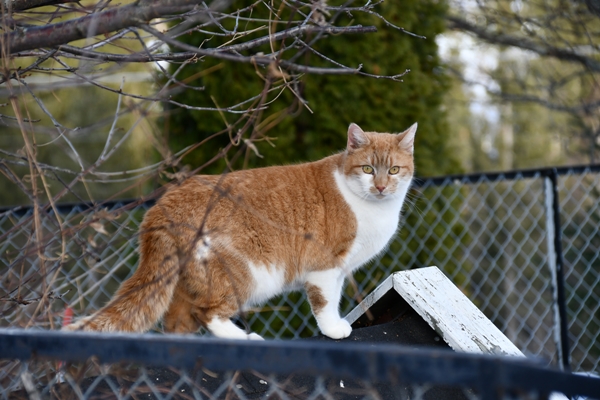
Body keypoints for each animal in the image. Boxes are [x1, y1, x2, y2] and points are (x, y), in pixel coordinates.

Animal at [64, 122, 412, 340]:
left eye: (394, 170)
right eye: (367, 168)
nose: (381, 187)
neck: (371, 207)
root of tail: (163, 206)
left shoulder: (339, 270)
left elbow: (336, 297)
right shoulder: (324, 267)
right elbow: (326, 302)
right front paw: (333, 329)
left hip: (186, 283)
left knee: (176, 324)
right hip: (242, 272)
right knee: (208, 313)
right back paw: (246, 338)